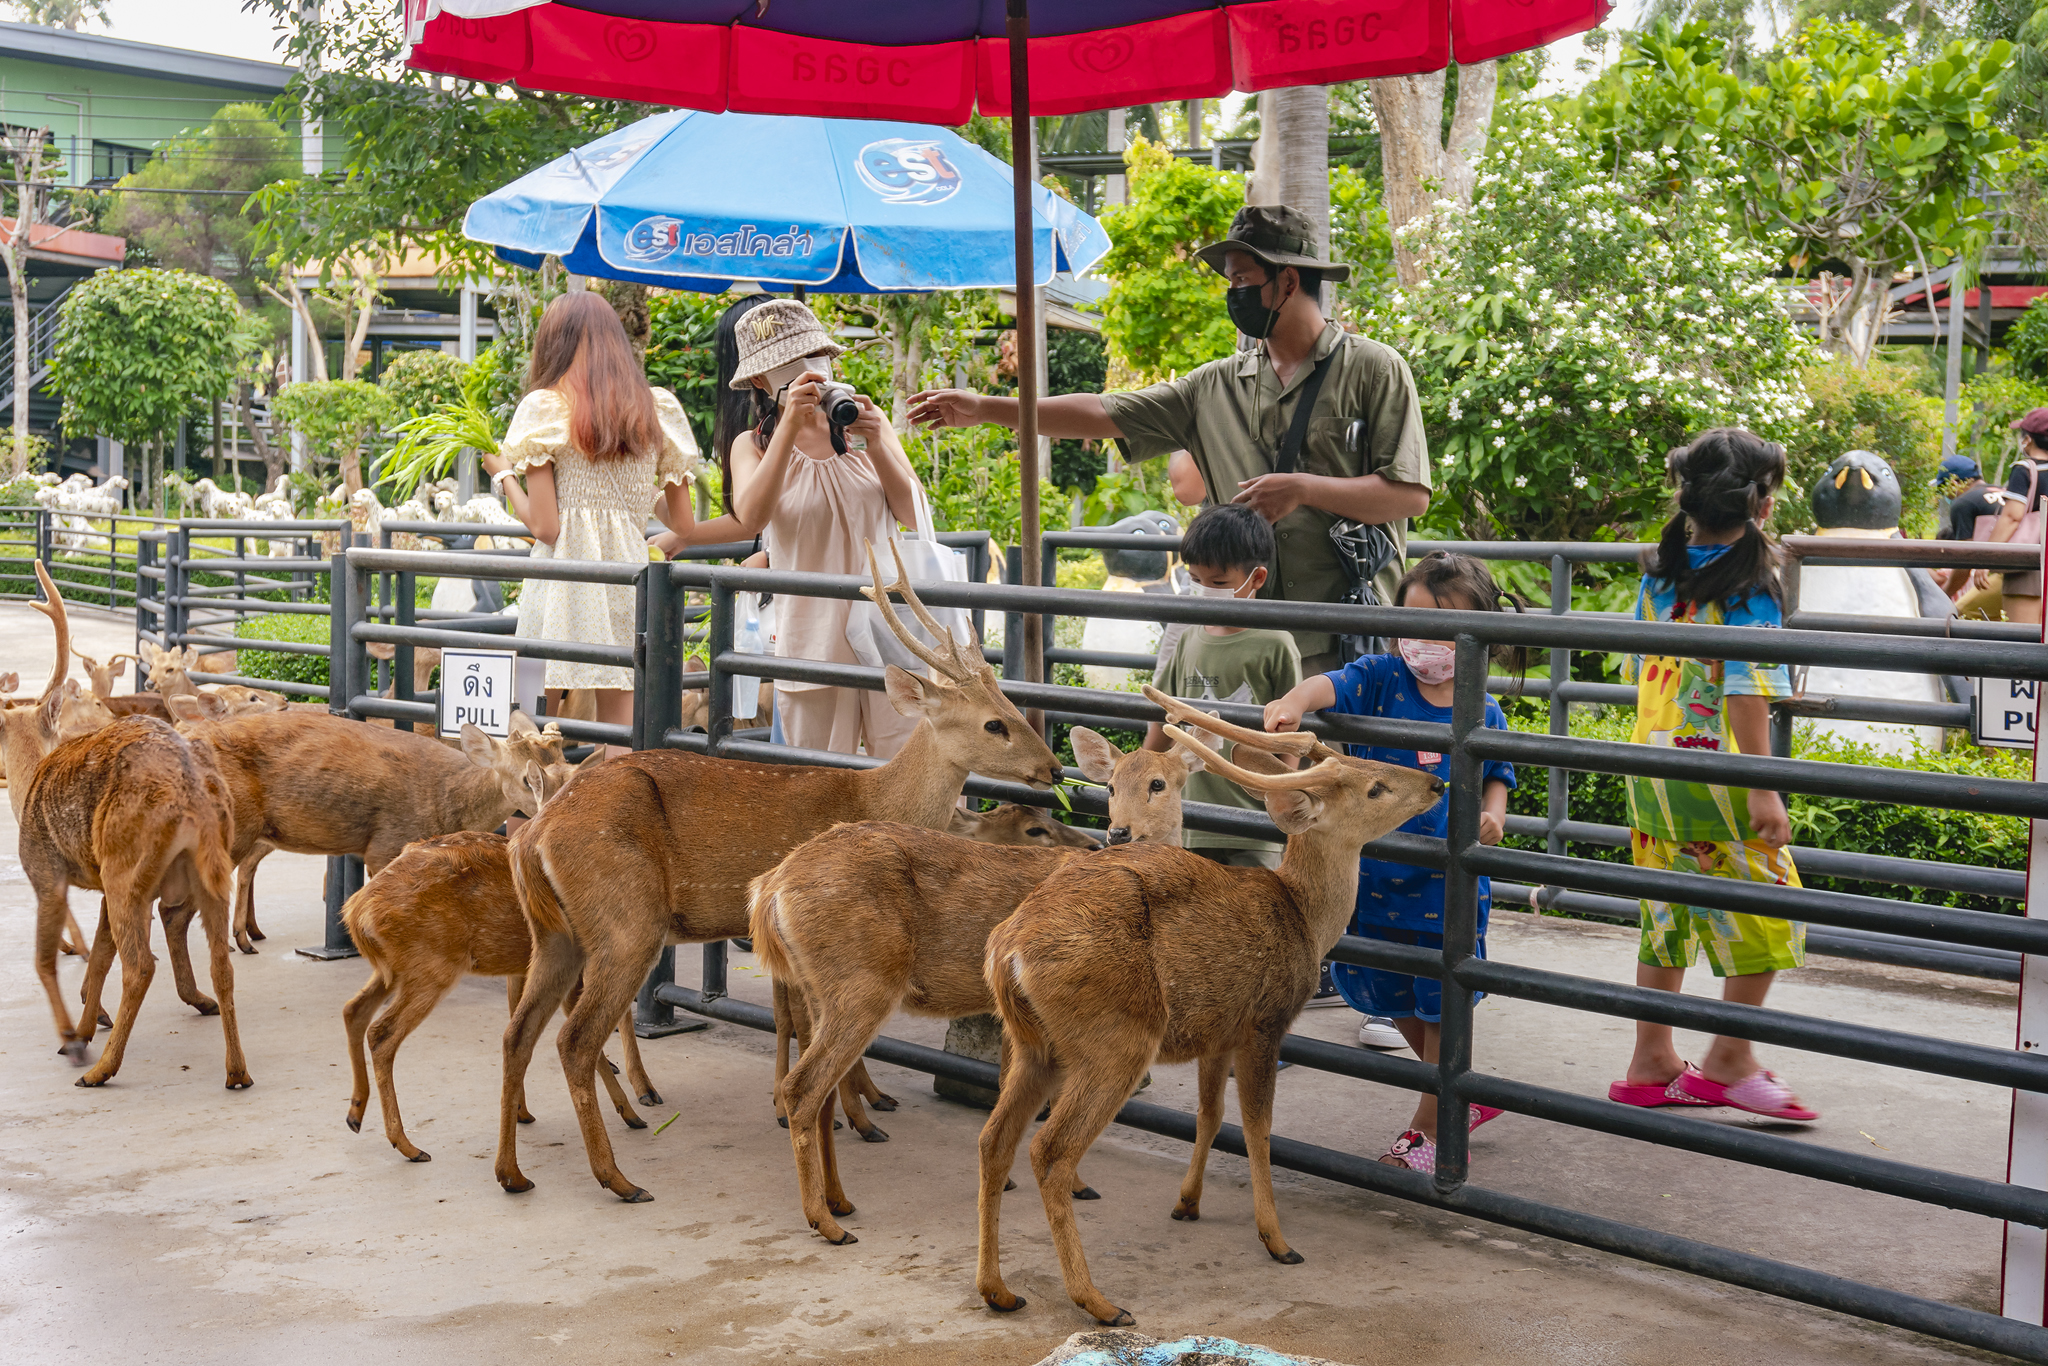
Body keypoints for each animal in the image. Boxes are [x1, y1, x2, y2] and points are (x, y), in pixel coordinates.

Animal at [15, 562, 248, 1089]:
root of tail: (192, 796)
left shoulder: (47, 871)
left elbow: (45, 959)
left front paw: (72, 1037)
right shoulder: (102, 885)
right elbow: (100, 954)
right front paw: (85, 1025)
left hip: (127, 866)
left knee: (141, 965)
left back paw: (100, 1069)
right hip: (206, 872)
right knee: (221, 962)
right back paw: (237, 1070)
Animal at [341, 752, 661, 1163]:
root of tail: (356, 910)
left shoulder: (525, 968)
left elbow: (517, 1024)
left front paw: (523, 1110)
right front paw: (634, 1105)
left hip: (394, 968)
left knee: (354, 1010)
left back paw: (355, 1113)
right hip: (430, 968)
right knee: (381, 1034)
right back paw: (408, 1145)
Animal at [495, 539, 1065, 1202]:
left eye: (1010, 703)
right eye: (993, 722)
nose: (1054, 768)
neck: (873, 799)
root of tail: (533, 835)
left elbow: (795, 1019)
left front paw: (859, 1105)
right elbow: (801, 1022)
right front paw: (855, 1115)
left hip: (556, 931)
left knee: (518, 1031)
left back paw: (515, 1168)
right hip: (626, 921)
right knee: (574, 1038)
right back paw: (620, 1173)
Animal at [751, 725, 1226, 1244]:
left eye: (1159, 783)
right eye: (1111, 787)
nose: (1117, 833)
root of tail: (770, 888)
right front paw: (1077, 1185)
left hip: (822, 988)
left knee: (823, 1092)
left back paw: (841, 1200)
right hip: (862, 984)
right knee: (804, 1088)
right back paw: (827, 1221)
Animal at [972, 690, 1445, 1328]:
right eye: (1375, 786)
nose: (1436, 782)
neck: (1303, 916)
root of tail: (1009, 950)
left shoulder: (1216, 1032)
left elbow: (1209, 1116)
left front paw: (1188, 1202)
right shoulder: (1264, 1022)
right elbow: (1259, 1127)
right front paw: (1277, 1240)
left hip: (1035, 1044)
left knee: (993, 1140)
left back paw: (997, 1289)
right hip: (1116, 1039)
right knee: (1050, 1150)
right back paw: (1099, 1302)